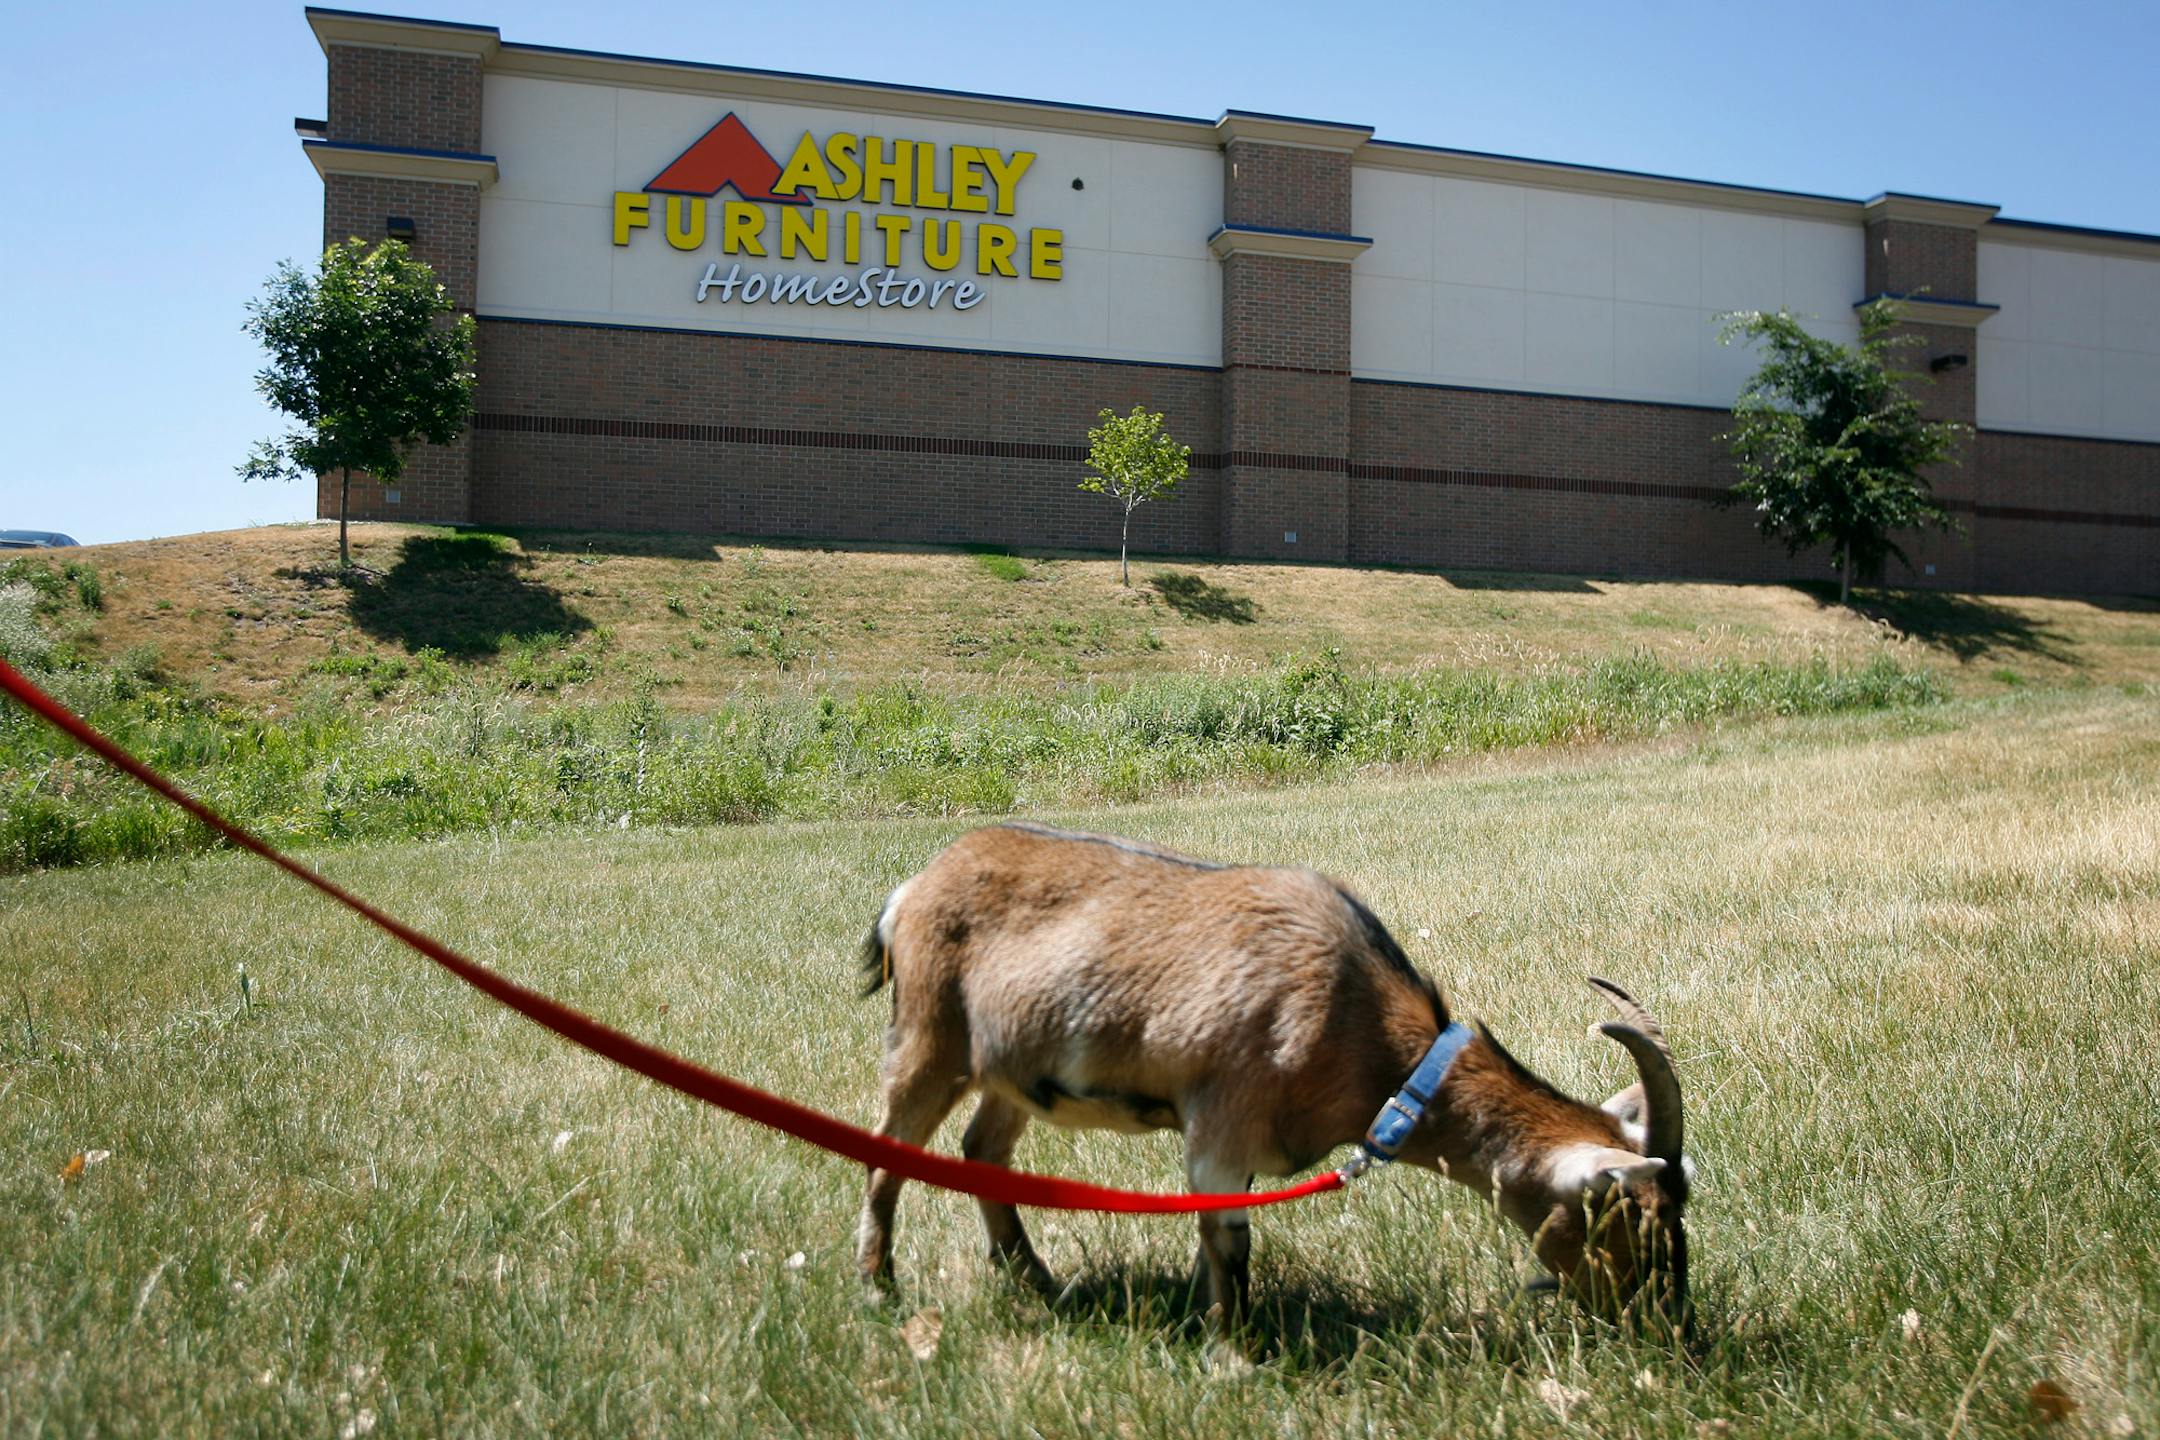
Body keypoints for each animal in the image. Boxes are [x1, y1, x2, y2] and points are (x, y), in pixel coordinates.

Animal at [855, 821, 1691, 1325]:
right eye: (1634, 1218)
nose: (1669, 1323)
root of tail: (909, 893)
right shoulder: (1223, 1117)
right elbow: (1231, 1242)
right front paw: (1233, 1354)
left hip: (1011, 1070)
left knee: (983, 1151)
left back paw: (1036, 1279)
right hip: (927, 1038)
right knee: (887, 1156)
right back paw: (879, 1287)